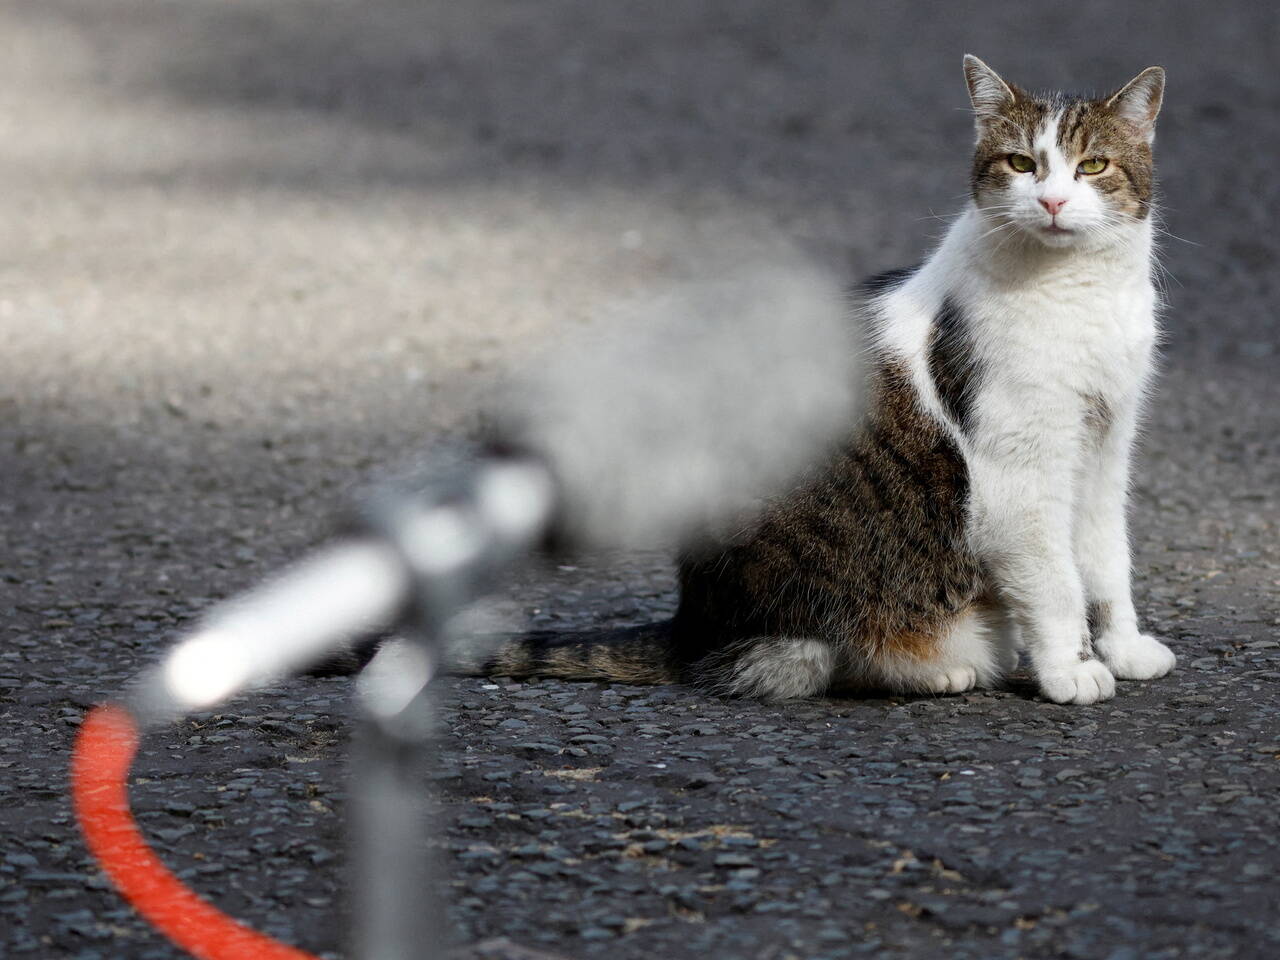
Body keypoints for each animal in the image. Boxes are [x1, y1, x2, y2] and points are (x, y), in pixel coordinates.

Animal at [460, 58, 1177, 706]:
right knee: (810, 661)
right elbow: (1056, 582)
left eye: (1093, 167)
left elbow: (1107, 562)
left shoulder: (1106, 444)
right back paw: (935, 671)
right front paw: (1071, 671)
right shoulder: (1020, 471)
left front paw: (1124, 650)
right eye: (1021, 164)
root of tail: (689, 629)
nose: (1053, 201)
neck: (1080, 293)